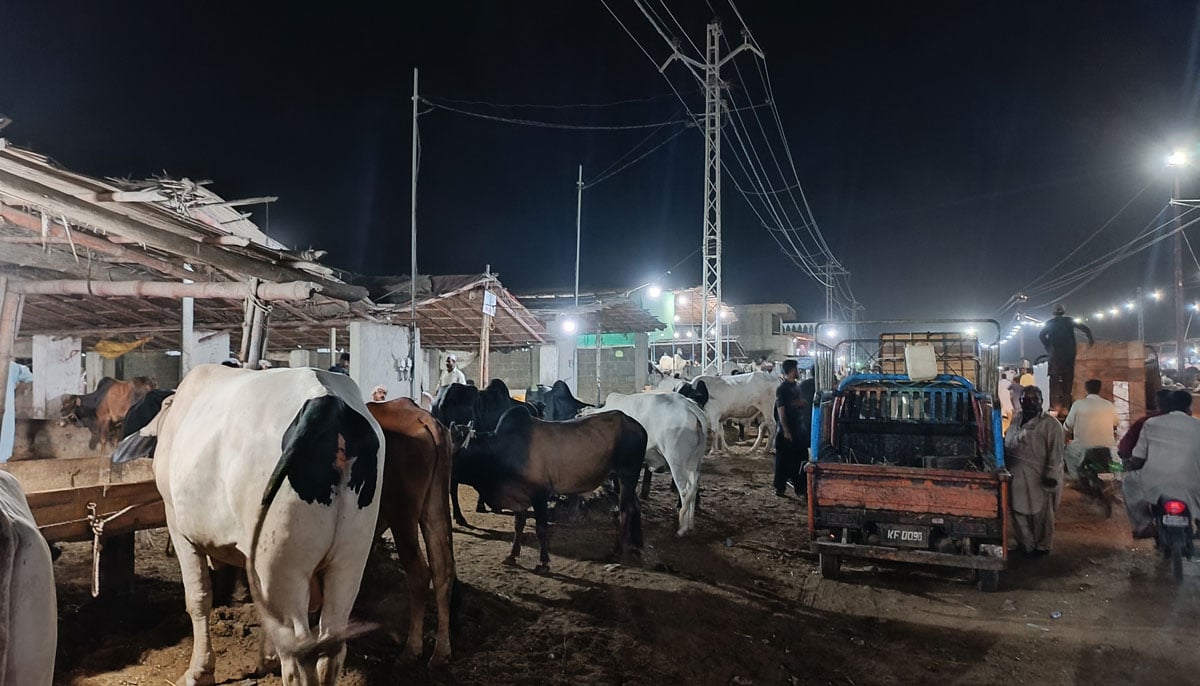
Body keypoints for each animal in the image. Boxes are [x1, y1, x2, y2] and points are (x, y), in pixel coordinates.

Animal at [113, 364, 379, 686]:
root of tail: (327, 401)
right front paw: (266, 658)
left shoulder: (178, 526)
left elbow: (198, 598)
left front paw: (199, 671)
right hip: (349, 559)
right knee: (330, 645)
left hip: (281, 562)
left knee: (298, 654)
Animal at [364, 393, 453, 666]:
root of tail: (422, 416)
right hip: (433, 510)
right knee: (442, 570)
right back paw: (440, 652)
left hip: (402, 514)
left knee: (420, 574)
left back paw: (412, 648)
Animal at [451, 407, 648, 573]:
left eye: (457, 454)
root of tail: (639, 427)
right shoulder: (519, 497)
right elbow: (518, 525)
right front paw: (512, 555)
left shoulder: (539, 495)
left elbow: (541, 528)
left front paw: (543, 562)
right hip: (617, 478)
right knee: (635, 505)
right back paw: (637, 544)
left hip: (627, 474)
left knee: (625, 510)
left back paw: (617, 552)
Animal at [592, 390, 705, 534]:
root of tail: (690, 408)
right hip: (694, 462)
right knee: (693, 489)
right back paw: (690, 524)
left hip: (676, 460)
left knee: (685, 490)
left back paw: (682, 527)